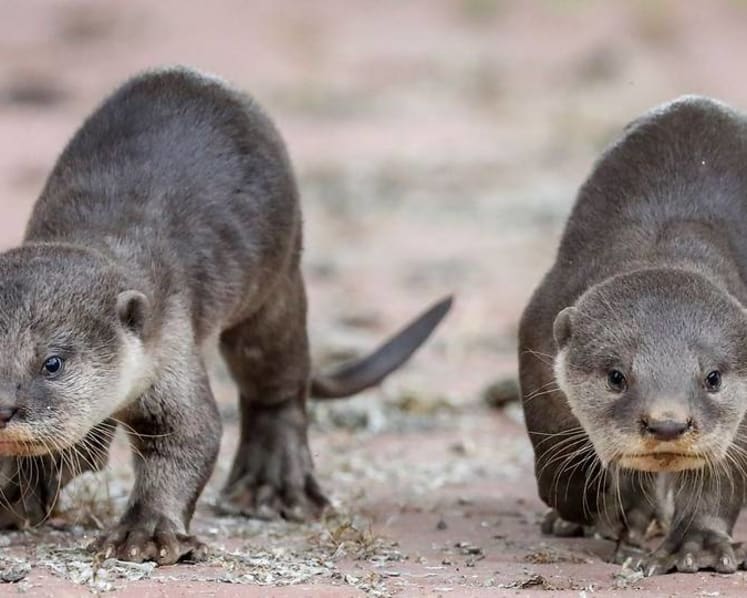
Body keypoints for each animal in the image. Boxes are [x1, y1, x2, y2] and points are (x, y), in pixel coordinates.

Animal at [0, 67, 452, 564]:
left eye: (52, 363)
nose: (2, 406)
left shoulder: (171, 346)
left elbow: (189, 436)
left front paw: (145, 533)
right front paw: (20, 492)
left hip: (276, 286)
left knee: (277, 383)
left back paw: (273, 486)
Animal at [519, 96, 747, 575]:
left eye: (713, 378)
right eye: (616, 377)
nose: (667, 424)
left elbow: (720, 477)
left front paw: (697, 545)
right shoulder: (537, 336)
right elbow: (556, 463)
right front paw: (600, 510)